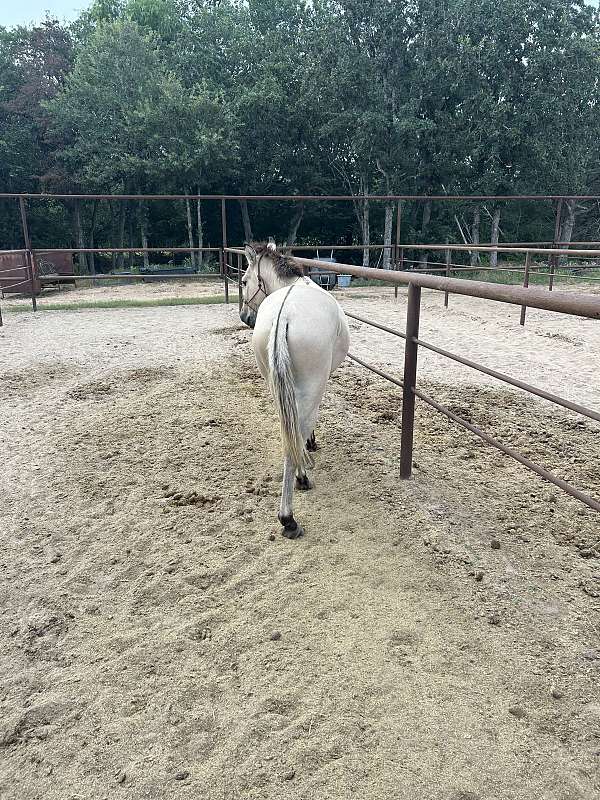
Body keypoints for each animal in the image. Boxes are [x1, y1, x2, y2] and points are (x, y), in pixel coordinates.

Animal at [239, 242, 350, 539]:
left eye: (244, 281)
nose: (244, 317)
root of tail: (285, 314)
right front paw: (310, 445)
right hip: (310, 387)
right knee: (296, 432)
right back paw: (290, 512)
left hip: (274, 384)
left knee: (286, 431)